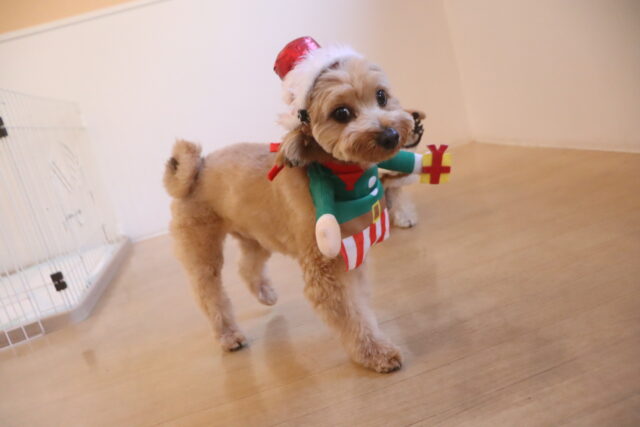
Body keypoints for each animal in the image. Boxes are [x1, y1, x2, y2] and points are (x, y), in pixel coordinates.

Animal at [164, 39, 423, 372]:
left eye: (381, 96)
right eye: (341, 113)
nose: (391, 135)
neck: (342, 177)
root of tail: (196, 170)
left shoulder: (352, 253)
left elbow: (361, 305)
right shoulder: (325, 270)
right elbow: (352, 316)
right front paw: (375, 353)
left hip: (256, 236)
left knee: (247, 267)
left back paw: (266, 294)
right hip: (202, 251)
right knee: (209, 295)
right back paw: (228, 335)